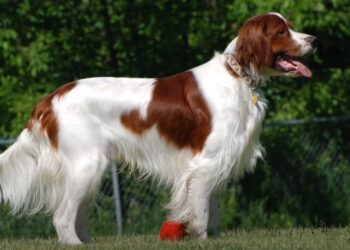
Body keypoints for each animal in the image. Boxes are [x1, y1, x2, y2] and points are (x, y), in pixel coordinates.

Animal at [0, 12, 316, 244]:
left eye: (290, 27)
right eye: (282, 31)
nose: (313, 39)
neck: (237, 75)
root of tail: (50, 99)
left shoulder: (219, 161)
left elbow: (212, 207)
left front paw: (214, 238)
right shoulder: (205, 162)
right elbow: (201, 209)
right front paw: (202, 238)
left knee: (76, 214)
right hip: (87, 164)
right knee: (62, 216)